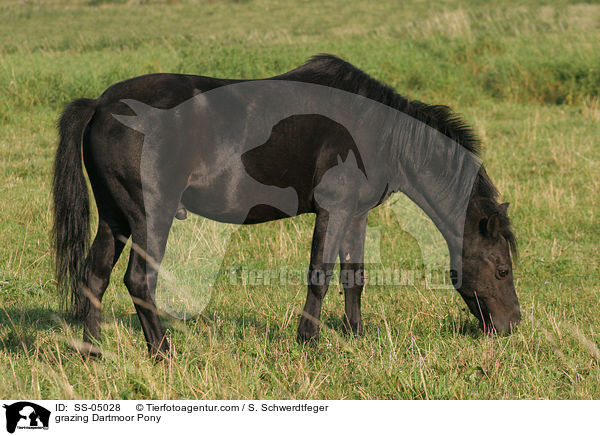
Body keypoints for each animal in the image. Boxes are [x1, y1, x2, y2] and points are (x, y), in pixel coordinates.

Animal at [52, 54, 520, 356]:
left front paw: (355, 338)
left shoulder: (356, 215)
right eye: (502, 269)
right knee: (138, 280)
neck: (379, 131)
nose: (512, 325)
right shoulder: (334, 210)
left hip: (116, 217)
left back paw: (91, 351)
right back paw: (163, 352)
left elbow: (354, 278)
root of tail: (100, 105)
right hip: (152, 217)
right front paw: (307, 341)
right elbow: (319, 275)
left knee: (95, 275)